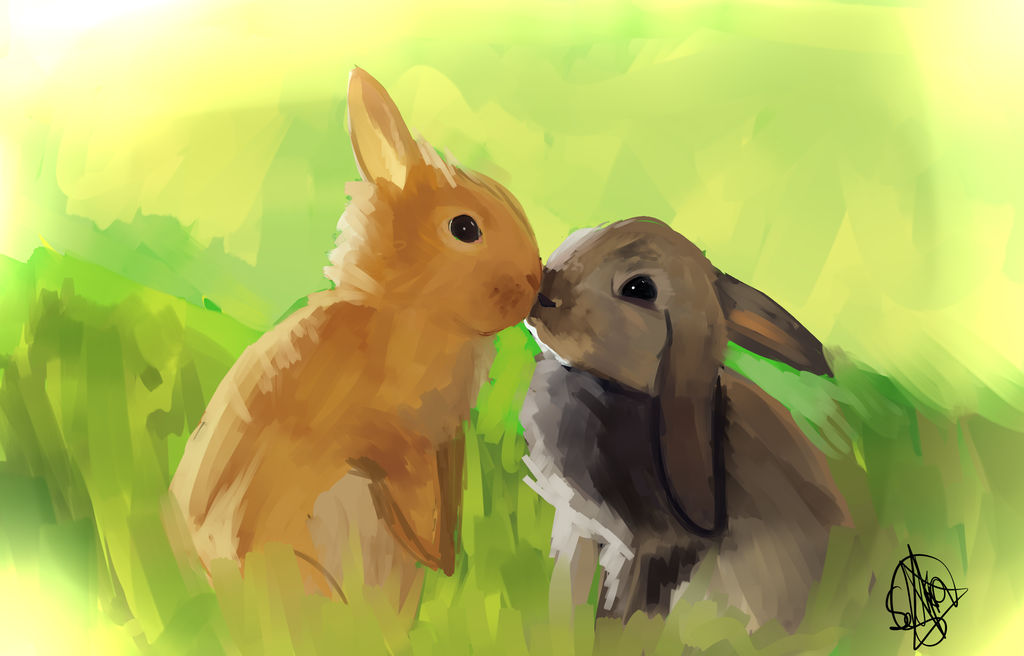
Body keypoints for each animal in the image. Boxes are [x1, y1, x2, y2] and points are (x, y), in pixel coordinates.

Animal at [169, 67, 541, 618]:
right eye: (464, 227)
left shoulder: (445, 442)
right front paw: (437, 553)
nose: (537, 284)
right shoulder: (396, 437)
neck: (406, 307)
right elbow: (415, 491)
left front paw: (447, 561)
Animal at [518, 216, 851, 633]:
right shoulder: (578, 527)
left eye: (639, 288)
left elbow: (619, 619)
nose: (542, 291)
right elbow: (566, 594)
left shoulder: (651, 551)